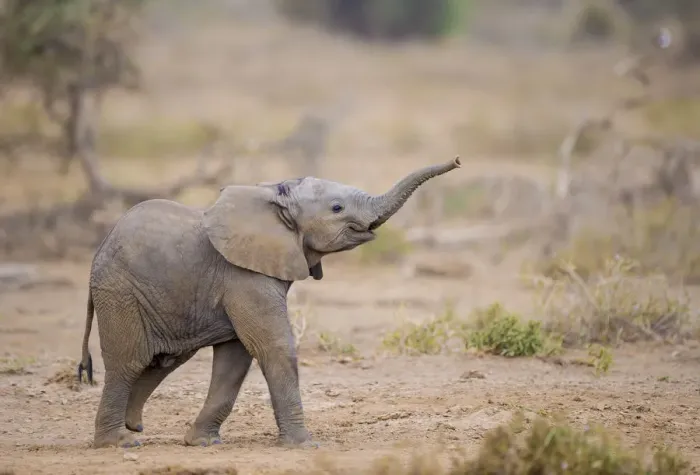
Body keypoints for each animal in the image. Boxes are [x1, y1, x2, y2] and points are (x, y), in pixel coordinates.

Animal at [76, 156, 461, 449]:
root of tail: (97, 253)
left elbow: (235, 359)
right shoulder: (242, 276)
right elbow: (273, 346)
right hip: (120, 293)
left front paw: (202, 443)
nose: (457, 161)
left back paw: (133, 427)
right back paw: (119, 443)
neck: (275, 196)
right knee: (129, 361)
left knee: (162, 361)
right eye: (337, 207)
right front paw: (306, 445)